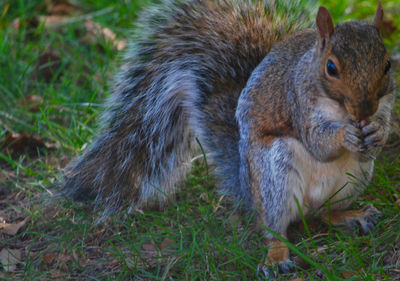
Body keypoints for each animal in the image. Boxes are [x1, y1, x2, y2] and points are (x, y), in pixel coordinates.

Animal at [61, 0, 396, 276]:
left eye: (388, 64)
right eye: (331, 68)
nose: (364, 109)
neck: (340, 109)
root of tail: (248, 192)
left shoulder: (384, 104)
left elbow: (379, 130)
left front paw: (376, 134)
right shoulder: (297, 102)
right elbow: (317, 143)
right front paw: (344, 135)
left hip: (354, 178)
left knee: (322, 213)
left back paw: (352, 215)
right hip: (276, 176)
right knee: (275, 227)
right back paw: (276, 257)